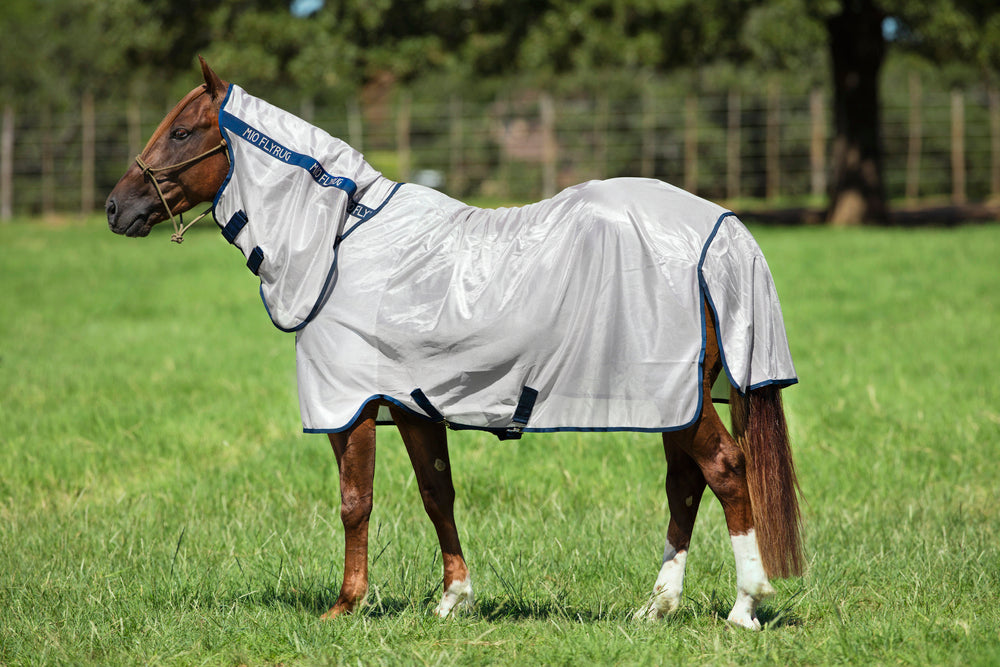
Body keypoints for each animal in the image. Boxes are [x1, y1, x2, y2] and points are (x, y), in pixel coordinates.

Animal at [106, 58, 803, 630]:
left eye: (182, 132)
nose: (116, 208)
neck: (343, 243)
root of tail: (719, 228)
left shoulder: (350, 405)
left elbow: (354, 502)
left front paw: (346, 604)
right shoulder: (414, 403)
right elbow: (436, 492)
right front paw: (453, 600)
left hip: (675, 397)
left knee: (725, 469)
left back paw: (746, 605)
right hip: (673, 399)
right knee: (684, 483)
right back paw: (656, 606)